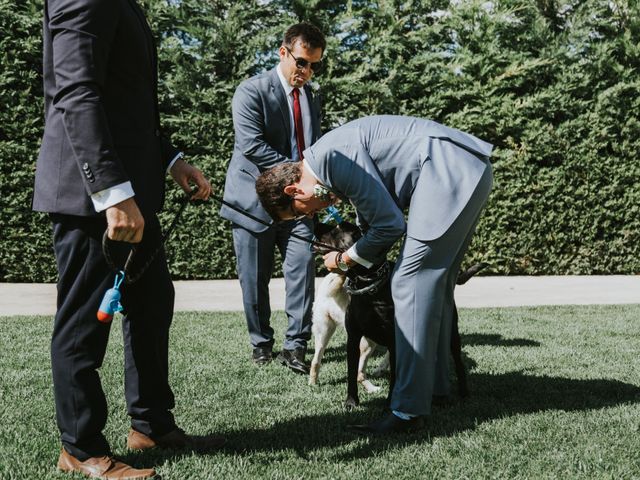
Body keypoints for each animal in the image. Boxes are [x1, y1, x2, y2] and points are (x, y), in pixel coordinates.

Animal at [314, 221, 484, 408]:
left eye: (336, 230)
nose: (316, 223)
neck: (369, 288)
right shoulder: (353, 337)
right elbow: (352, 373)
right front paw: (351, 402)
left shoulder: (395, 341)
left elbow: (395, 375)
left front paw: (390, 404)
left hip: (452, 334)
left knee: (458, 362)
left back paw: (462, 392)